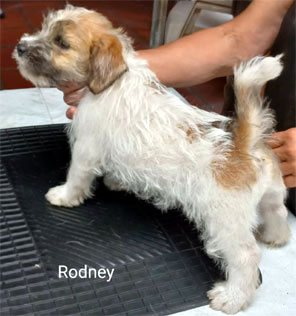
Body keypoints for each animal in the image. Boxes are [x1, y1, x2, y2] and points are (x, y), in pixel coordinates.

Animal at [12, 4, 290, 314]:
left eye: (61, 43)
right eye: (45, 28)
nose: (20, 47)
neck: (111, 82)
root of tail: (243, 142)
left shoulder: (86, 148)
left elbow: (76, 177)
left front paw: (64, 196)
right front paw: (117, 182)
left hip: (224, 220)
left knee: (246, 256)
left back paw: (232, 297)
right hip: (271, 195)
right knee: (277, 212)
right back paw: (275, 237)